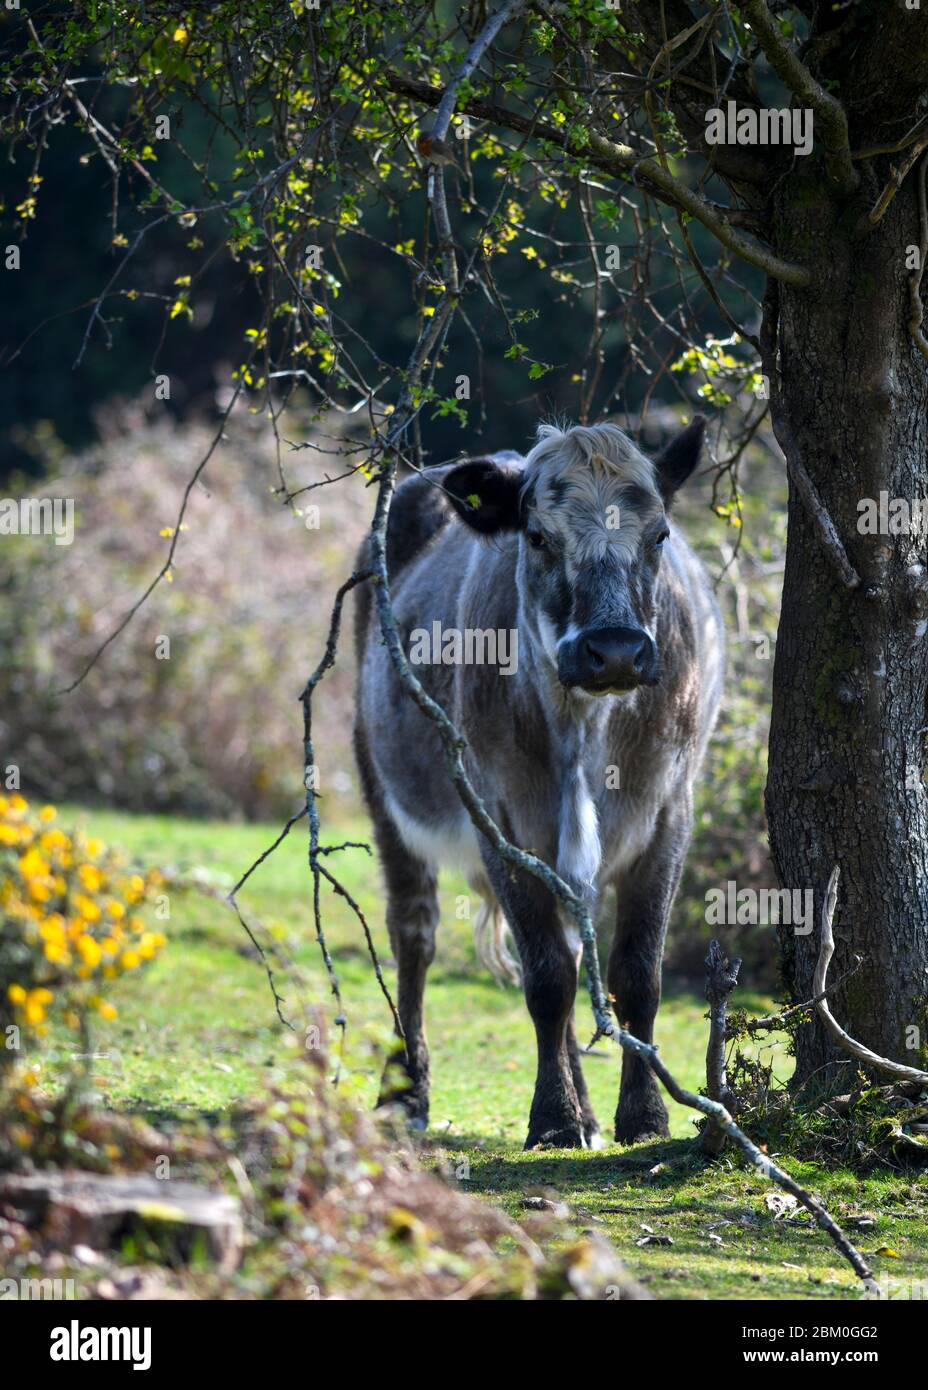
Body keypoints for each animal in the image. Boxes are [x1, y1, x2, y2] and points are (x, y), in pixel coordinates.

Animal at [353, 416, 724, 1148]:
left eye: (660, 534)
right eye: (538, 537)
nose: (615, 651)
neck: (584, 726)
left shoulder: (670, 812)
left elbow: (636, 973)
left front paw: (642, 1116)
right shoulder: (498, 818)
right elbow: (546, 979)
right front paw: (552, 1118)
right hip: (381, 787)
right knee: (414, 936)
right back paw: (405, 1092)